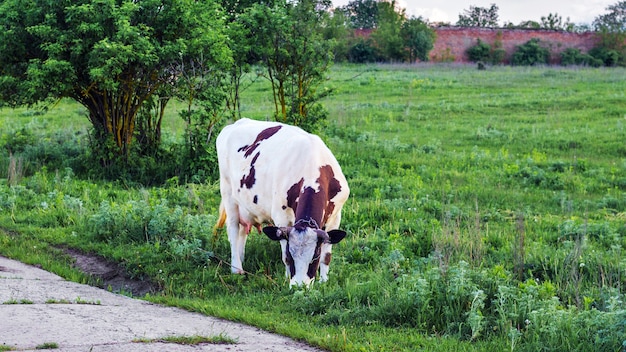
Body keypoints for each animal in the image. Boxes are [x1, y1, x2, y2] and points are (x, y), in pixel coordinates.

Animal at [214, 117, 348, 286]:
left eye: (314, 257)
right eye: (291, 256)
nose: (300, 287)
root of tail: (236, 123)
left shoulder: (335, 217)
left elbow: (327, 257)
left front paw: (323, 281)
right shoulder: (281, 217)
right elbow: (283, 251)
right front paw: (286, 277)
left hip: (246, 205)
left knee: (243, 230)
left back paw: (240, 259)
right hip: (228, 193)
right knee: (232, 229)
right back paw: (236, 269)